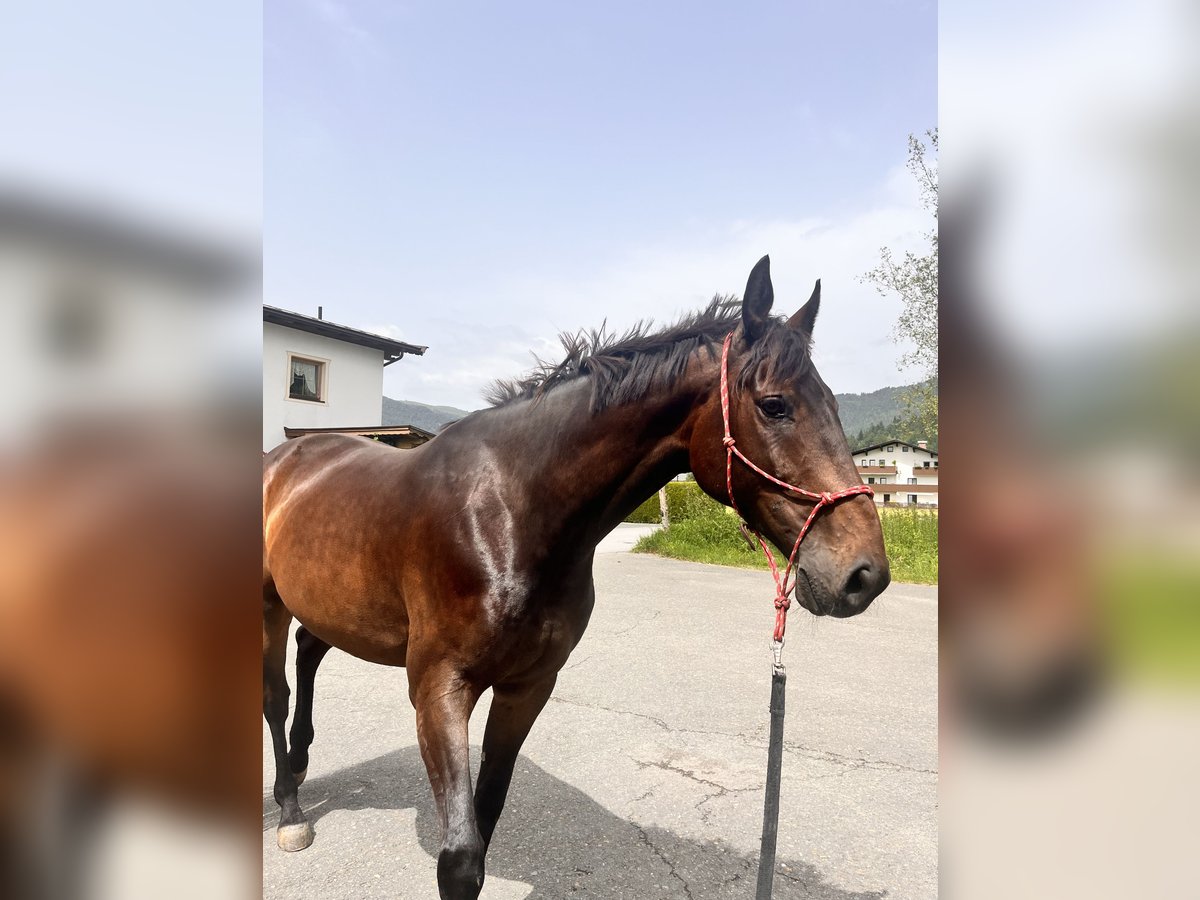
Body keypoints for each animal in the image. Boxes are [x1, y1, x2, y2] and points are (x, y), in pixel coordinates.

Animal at [262, 255, 892, 900]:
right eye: (773, 405)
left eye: (834, 403)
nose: (864, 573)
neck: (512, 513)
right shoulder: (439, 689)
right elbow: (460, 859)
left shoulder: (528, 687)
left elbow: (485, 821)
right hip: (268, 606)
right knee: (275, 694)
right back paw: (289, 810)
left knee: (309, 651)